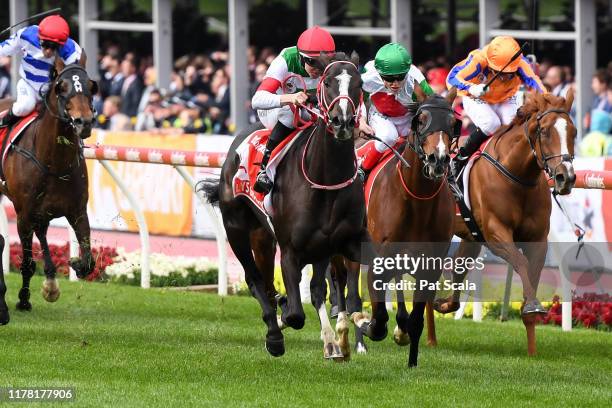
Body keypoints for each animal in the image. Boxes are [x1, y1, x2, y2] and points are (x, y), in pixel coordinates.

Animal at [0, 55, 97, 326]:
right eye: (60, 87)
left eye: (92, 85)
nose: (84, 122)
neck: (55, 162)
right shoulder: (23, 215)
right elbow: (26, 263)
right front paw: (23, 300)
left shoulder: (78, 211)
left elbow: (88, 261)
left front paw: (74, 264)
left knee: (42, 231)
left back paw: (52, 279)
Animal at [330, 88, 460, 366]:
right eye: (421, 120)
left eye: (453, 123)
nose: (438, 159)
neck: (418, 200)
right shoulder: (378, 262)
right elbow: (377, 319)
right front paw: (365, 323)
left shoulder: (429, 268)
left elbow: (416, 320)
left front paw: (411, 360)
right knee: (345, 287)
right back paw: (346, 341)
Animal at [432, 88, 576, 354]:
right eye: (544, 131)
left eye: (574, 131)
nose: (566, 177)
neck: (517, 175)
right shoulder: (496, 235)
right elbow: (520, 261)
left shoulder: (538, 240)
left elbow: (532, 273)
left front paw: (532, 344)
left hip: (468, 235)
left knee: (458, 266)